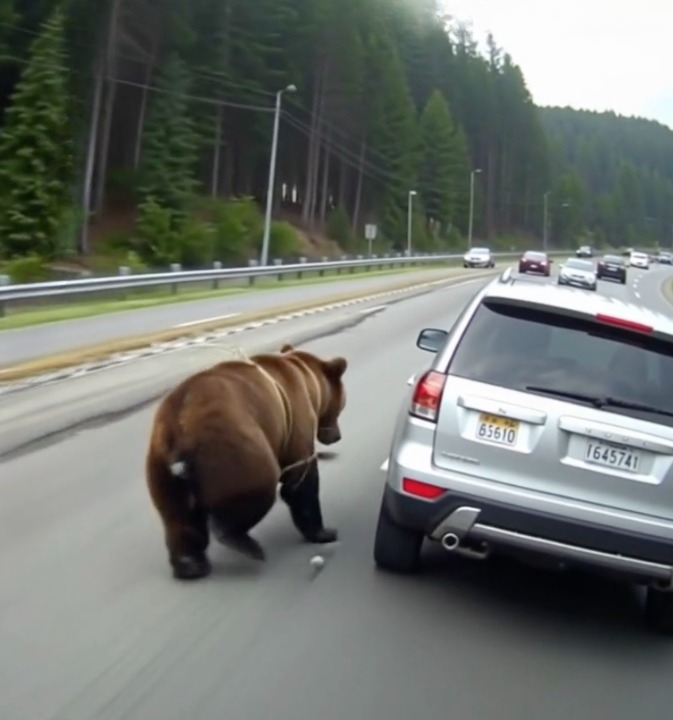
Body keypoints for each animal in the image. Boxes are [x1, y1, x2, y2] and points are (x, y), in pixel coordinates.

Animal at [144, 343, 348, 580]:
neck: (310, 383)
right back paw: (244, 543)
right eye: (342, 404)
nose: (337, 436)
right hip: (235, 448)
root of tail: (180, 426)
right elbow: (301, 479)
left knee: (178, 517)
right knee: (255, 492)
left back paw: (190, 565)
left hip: (160, 466)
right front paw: (325, 532)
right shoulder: (295, 422)